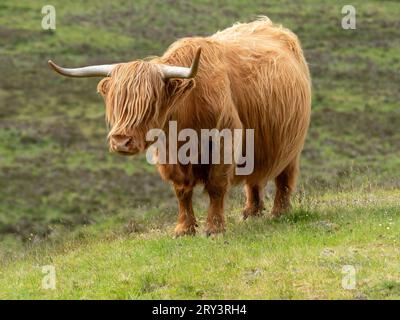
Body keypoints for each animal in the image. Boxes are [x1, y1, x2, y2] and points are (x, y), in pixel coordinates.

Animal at [48, 18, 312, 238]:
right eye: (116, 102)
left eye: (151, 103)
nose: (121, 141)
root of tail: (271, 26)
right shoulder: (168, 155)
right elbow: (181, 191)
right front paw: (184, 229)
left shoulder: (224, 141)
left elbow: (216, 186)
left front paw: (215, 228)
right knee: (254, 179)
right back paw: (251, 212)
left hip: (290, 142)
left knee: (284, 177)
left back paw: (280, 212)